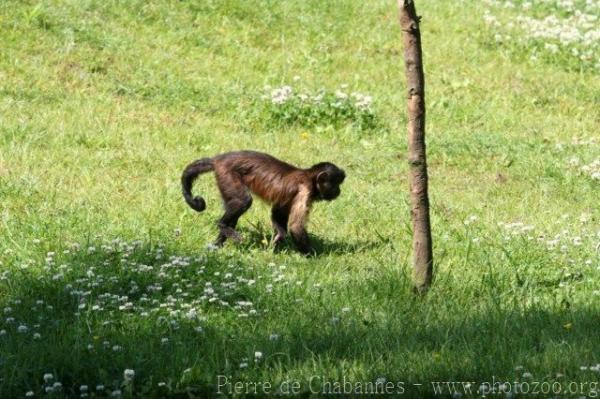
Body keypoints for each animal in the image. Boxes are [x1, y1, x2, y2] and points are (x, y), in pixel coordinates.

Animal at [180, 152, 344, 255]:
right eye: (335, 184)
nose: (339, 191)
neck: (309, 177)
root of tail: (217, 160)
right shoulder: (304, 191)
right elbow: (295, 227)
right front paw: (314, 256)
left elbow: (278, 211)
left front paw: (279, 238)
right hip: (227, 174)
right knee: (243, 201)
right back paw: (222, 225)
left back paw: (218, 243)